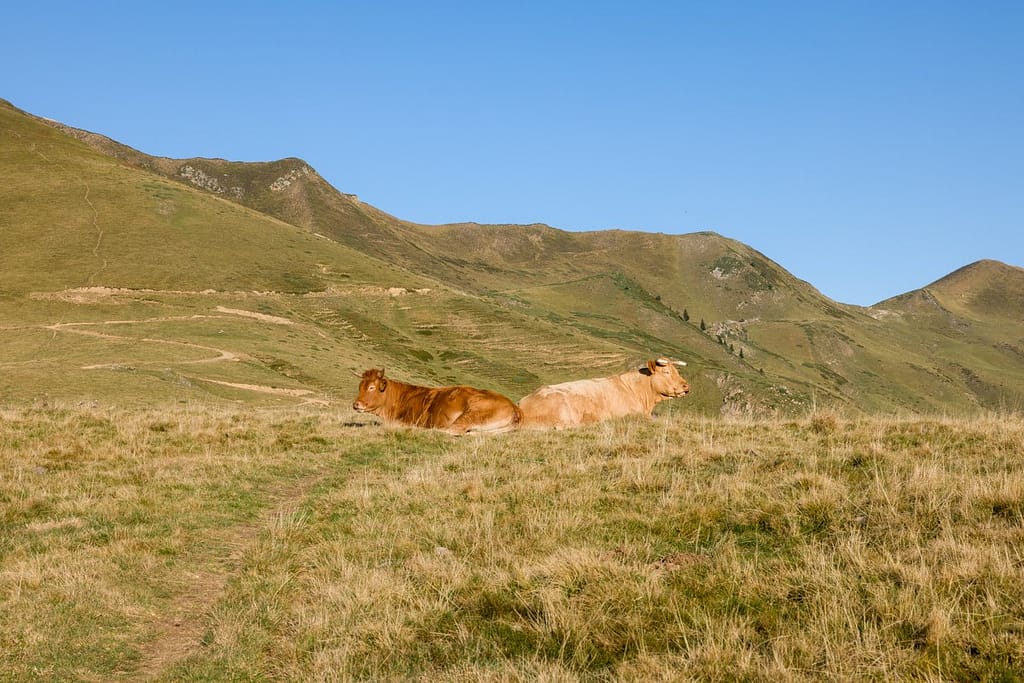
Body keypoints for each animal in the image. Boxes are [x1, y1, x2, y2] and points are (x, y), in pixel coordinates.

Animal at [352, 368, 522, 435]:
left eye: (372, 387)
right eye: (359, 386)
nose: (356, 404)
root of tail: (514, 407)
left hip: (472, 413)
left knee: (451, 430)